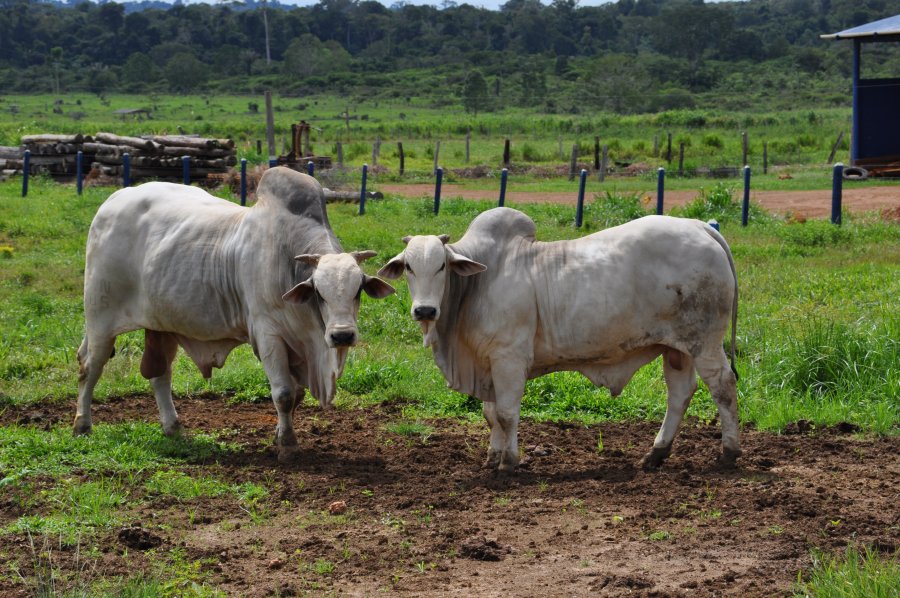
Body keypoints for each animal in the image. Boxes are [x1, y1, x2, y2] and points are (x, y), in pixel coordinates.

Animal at [78, 169, 398, 464]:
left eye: (358, 290)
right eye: (319, 292)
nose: (342, 335)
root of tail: (113, 200)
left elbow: (296, 395)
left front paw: (279, 436)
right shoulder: (268, 335)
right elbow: (283, 394)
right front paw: (288, 446)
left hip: (161, 325)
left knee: (160, 375)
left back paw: (173, 428)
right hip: (100, 318)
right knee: (90, 367)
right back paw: (83, 425)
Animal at [380, 210, 740, 474]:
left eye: (442, 265)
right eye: (409, 266)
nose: (425, 310)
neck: (478, 283)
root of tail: (698, 226)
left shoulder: (509, 358)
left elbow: (507, 413)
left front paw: (509, 462)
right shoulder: (488, 365)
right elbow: (490, 414)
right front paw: (492, 457)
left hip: (705, 342)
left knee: (723, 385)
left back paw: (729, 452)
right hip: (677, 348)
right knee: (680, 393)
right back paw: (656, 454)